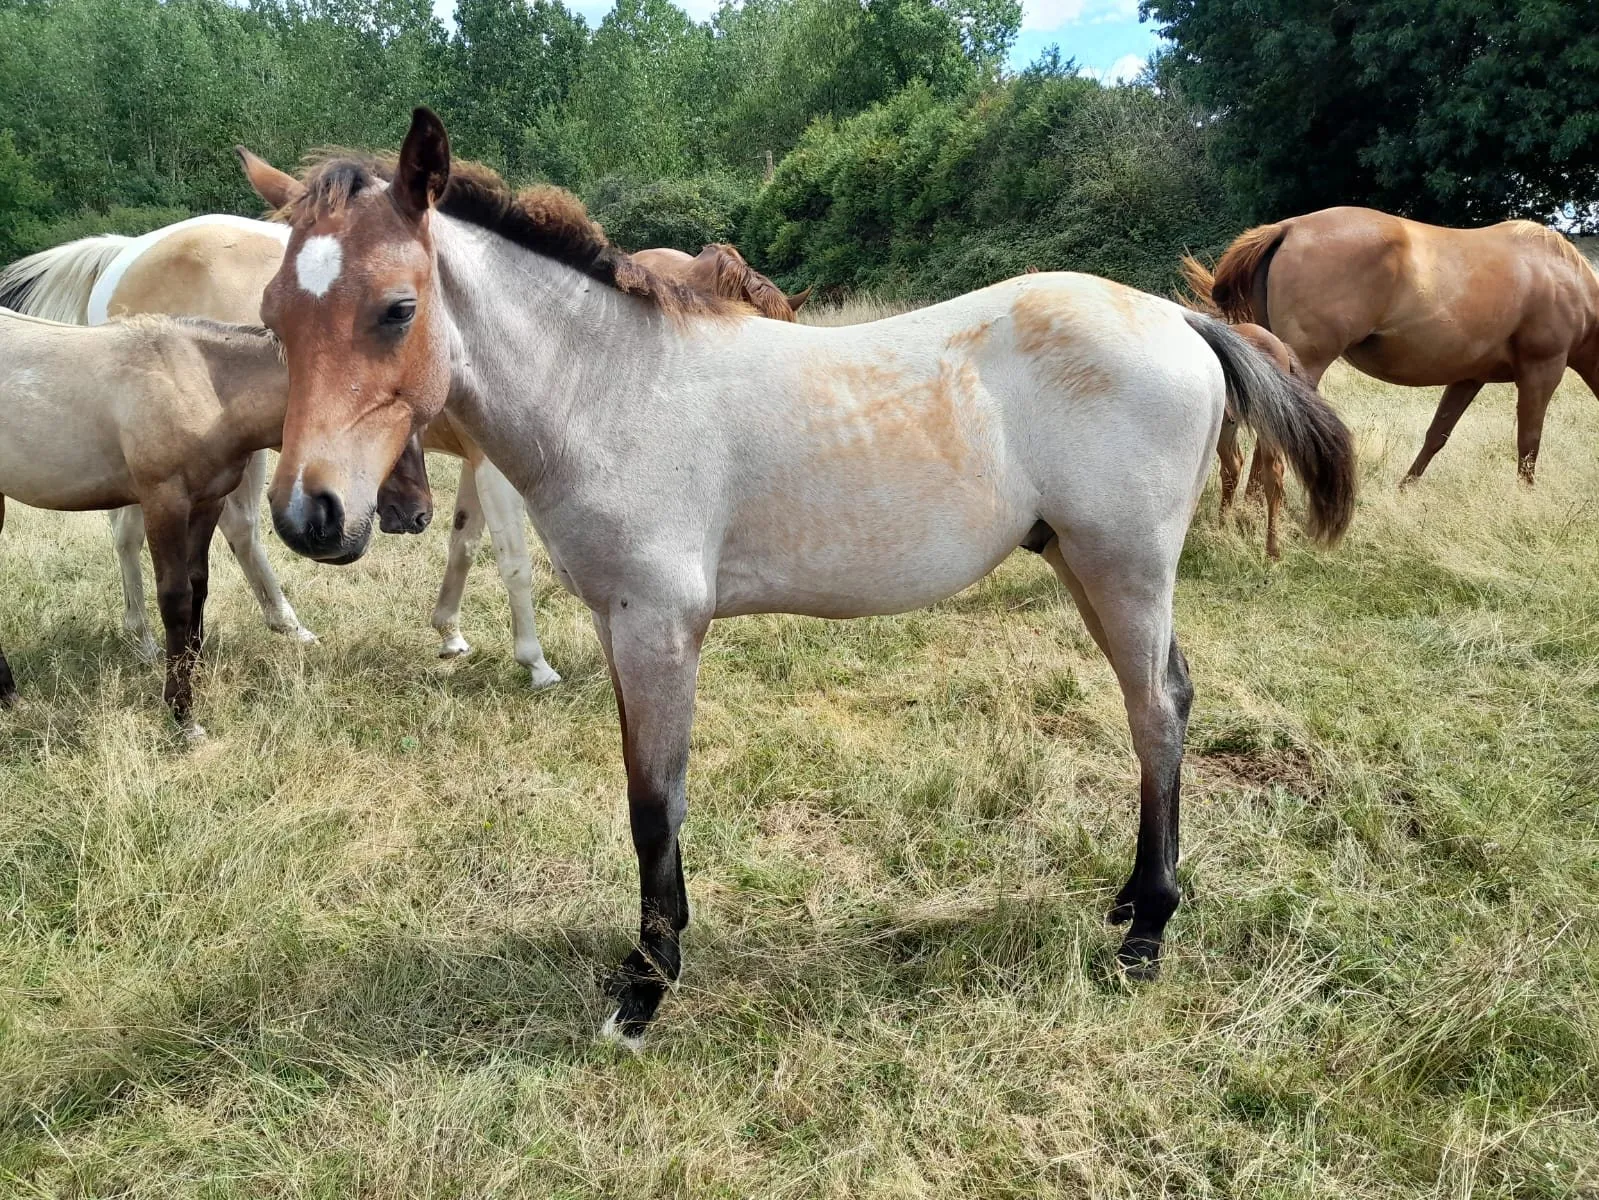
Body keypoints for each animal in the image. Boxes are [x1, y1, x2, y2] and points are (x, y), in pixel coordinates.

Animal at [0, 218, 560, 687]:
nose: (413, 517)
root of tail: (124, 251)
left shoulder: (478, 463)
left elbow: (464, 543)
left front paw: (450, 634)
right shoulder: (498, 470)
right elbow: (515, 563)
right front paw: (535, 663)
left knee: (197, 532)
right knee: (178, 532)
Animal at [0, 309, 318, 737]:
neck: (201, 378)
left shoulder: (207, 501)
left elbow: (199, 584)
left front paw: (191, 670)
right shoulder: (162, 502)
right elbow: (176, 597)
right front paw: (183, 713)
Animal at [1182, 207, 1599, 485]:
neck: (1568, 281)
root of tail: (1289, 228)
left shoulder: (1468, 378)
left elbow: (1437, 436)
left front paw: (1405, 490)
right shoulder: (1541, 371)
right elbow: (1529, 445)